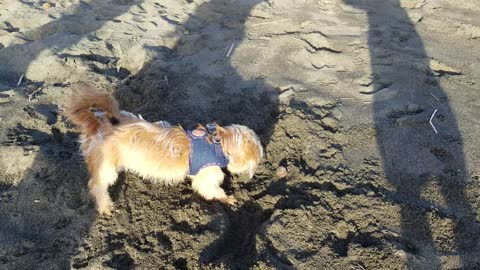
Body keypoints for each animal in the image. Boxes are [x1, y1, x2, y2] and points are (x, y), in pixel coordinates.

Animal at [63, 84, 262, 215]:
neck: (217, 143)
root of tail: (95, 122)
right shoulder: (206, 177)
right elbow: (213, 190)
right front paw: (228, 199)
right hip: (106, 167)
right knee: (96, 185)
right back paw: (105, 207)